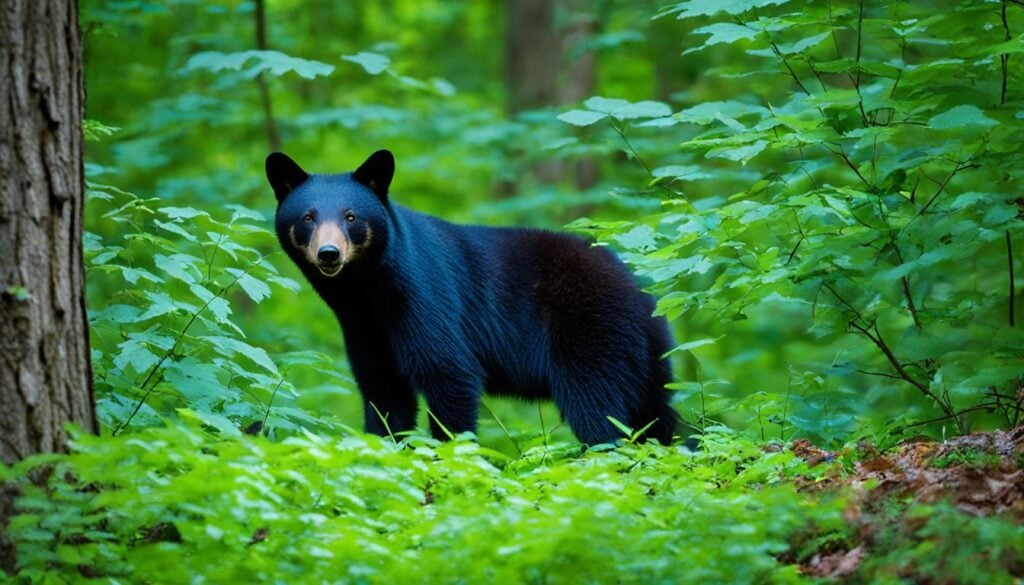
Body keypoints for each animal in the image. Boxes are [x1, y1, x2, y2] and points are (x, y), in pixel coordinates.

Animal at [264, 149, 684, 444]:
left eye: (351, 216)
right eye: (308, 217)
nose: (329, 253)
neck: (369, 293)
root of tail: (645, 297)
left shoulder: (427, 302)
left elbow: (450, 376)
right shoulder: (365, 332)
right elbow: (384, 397)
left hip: (593, 337)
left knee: (600, 415)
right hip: (648, 362)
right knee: (658, 417)